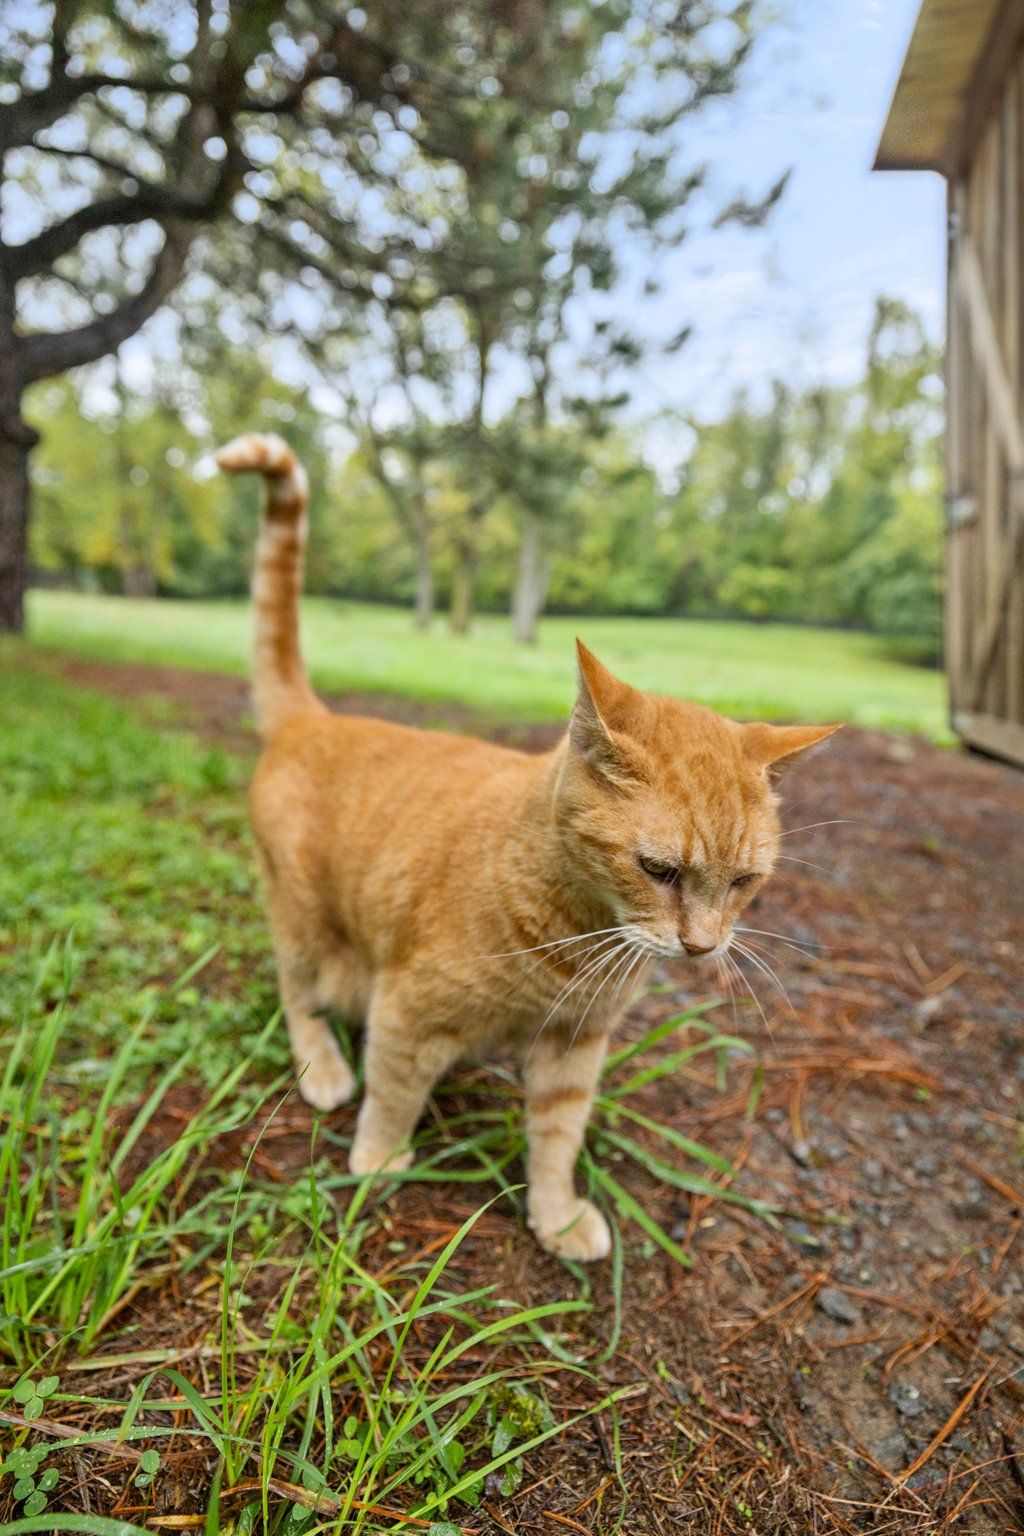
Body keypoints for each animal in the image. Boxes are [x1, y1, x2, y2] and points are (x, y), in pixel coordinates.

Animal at [218, 430, 841, 1259]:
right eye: (659, 870)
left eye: (743, 883)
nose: (704, 948)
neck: (579, 942)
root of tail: (314, 718)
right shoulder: (407, 1014)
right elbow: (393, 1093)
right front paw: (378, 1159)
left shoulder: (576, 1049)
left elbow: (558, 1138)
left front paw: (556, 1216)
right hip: (305, 926)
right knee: (297, 994)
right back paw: (322, 1066)